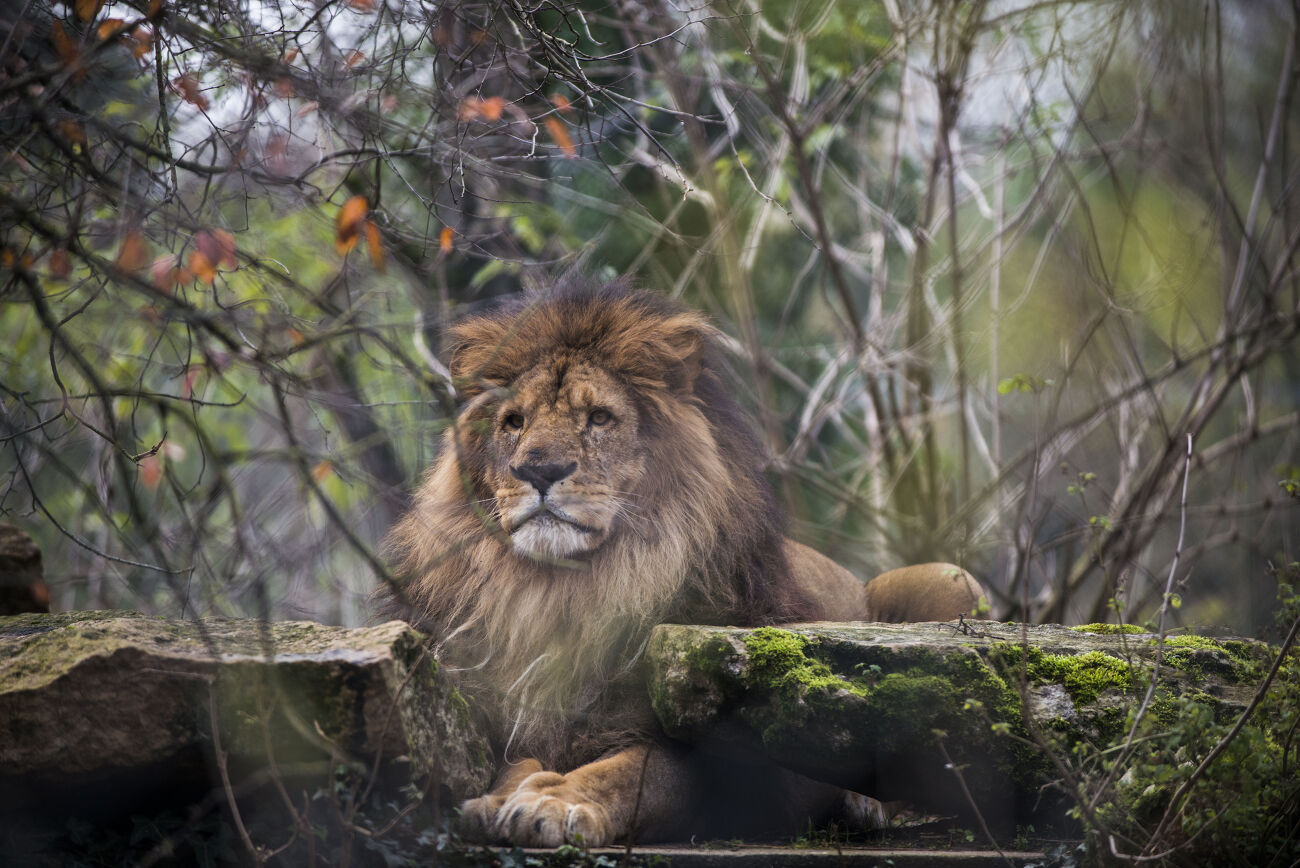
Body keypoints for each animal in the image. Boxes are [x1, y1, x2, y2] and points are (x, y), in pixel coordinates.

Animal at [379, 279, 977, 847]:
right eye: (513, 421)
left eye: (600, 418)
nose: (538, 470)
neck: (561, 596)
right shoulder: (493, 722)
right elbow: (513, 764)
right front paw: (503, 799)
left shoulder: (723, 760)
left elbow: (630, 774)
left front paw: (553, 802)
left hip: (950, 581)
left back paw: (861, 805)